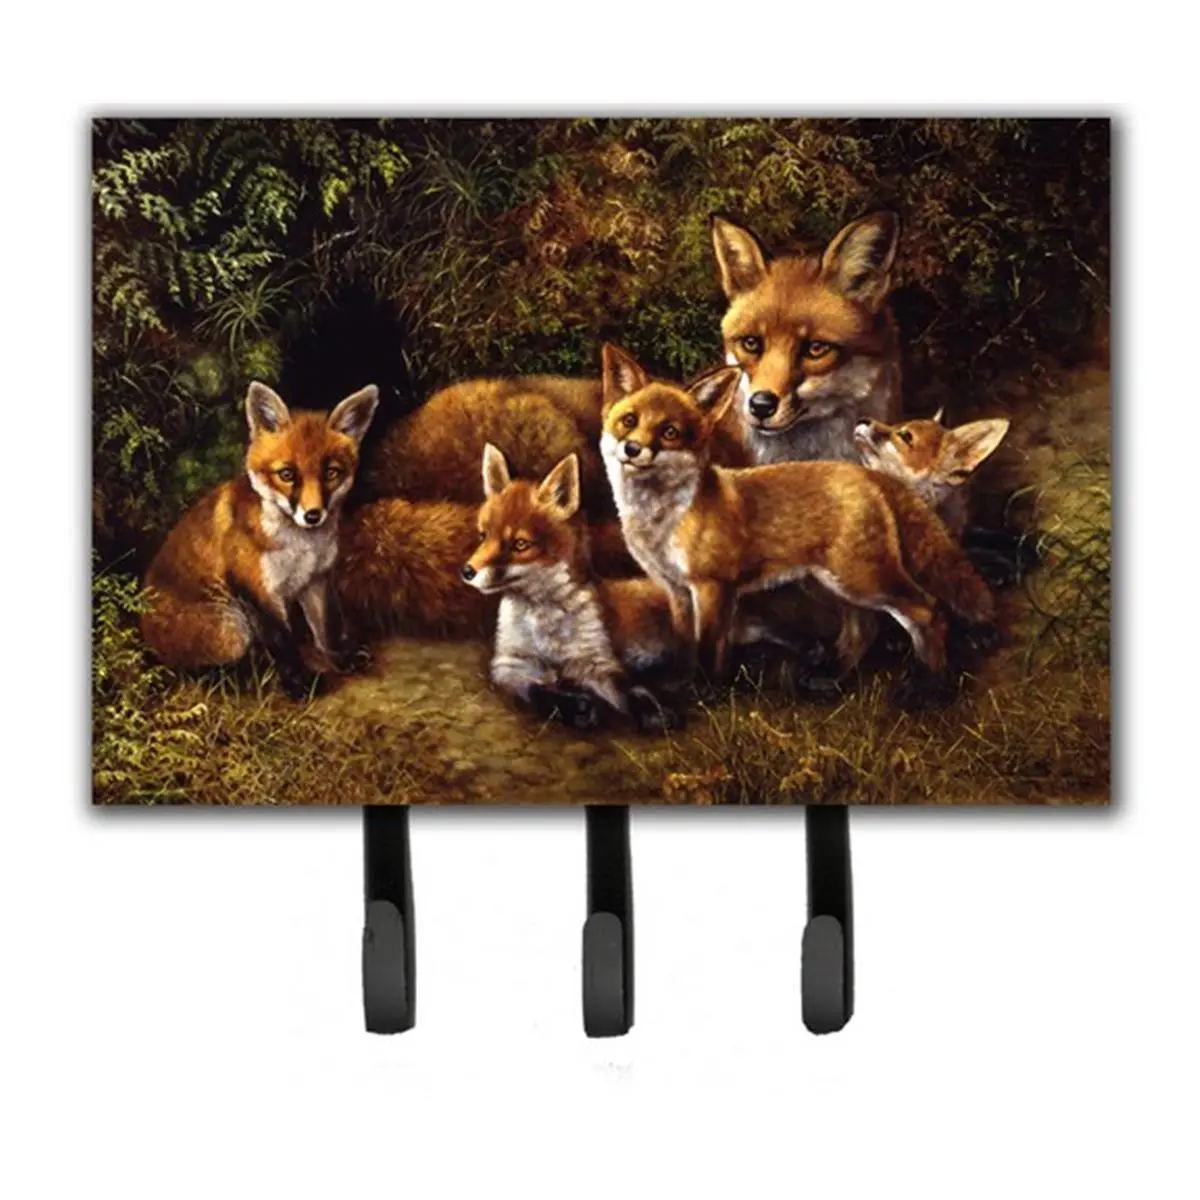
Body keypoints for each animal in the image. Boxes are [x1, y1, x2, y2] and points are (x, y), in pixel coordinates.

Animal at [141, 381, 379, 698]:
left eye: (331, 473)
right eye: (287, 474)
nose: (313, 515)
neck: (302, 546)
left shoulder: (317, 578)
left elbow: (328, 626)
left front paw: (342, 657)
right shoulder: (257, 590)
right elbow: (283, 643)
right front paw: (302, 684)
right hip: (232, 627)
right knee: (192, 672)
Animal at [461, 445, 680, 731]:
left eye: (520, 545)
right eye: (483, 536)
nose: (467, 571)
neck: (544, 624)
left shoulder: (596, 661)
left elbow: (628, 687)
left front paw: (651, 709)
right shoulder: (510, 665)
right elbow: (536, 690)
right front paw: (574, 705)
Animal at [598, 344, 994, 686]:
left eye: (669, 432)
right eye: (629, 421)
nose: (632, 448)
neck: (664, 521)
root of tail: (869, 474)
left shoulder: (713, 587)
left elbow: (709, 650)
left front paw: (706, 694)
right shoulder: (676, 590)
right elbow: (684, 646)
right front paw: (680, 685)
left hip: (861, 578)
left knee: (929, 611)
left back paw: (927, 687)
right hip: (836, 583)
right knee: (870, 627)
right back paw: (835, 676)